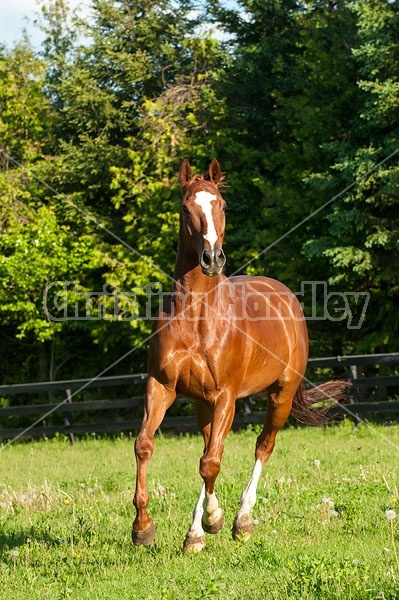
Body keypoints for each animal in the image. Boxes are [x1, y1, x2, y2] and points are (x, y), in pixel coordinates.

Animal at [133, 159, 346, 552]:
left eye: (222, 204)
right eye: (185, 207)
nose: (212, 259)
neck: (197, 317)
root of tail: (284, 294)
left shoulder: (226, 396)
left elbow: (211, 464)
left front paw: (210, 523)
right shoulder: (162, 387)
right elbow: (146, 446)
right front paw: (143, 527)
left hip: (280, 394)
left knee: (262, 447)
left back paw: (241, 521)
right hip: (203, 404)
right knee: (209, 448)